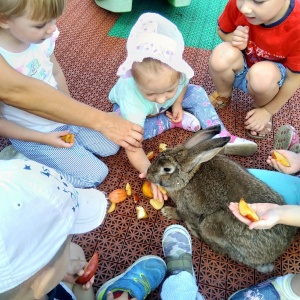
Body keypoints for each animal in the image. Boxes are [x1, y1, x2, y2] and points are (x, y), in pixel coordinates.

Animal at [146, 124, 296, 272]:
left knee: (222, 250)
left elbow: (180, 214)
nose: (148, 175)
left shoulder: (186, 208)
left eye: (166, 169)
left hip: (211, 223)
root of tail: (279, 250)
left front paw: (167, 211)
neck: (188, 179)